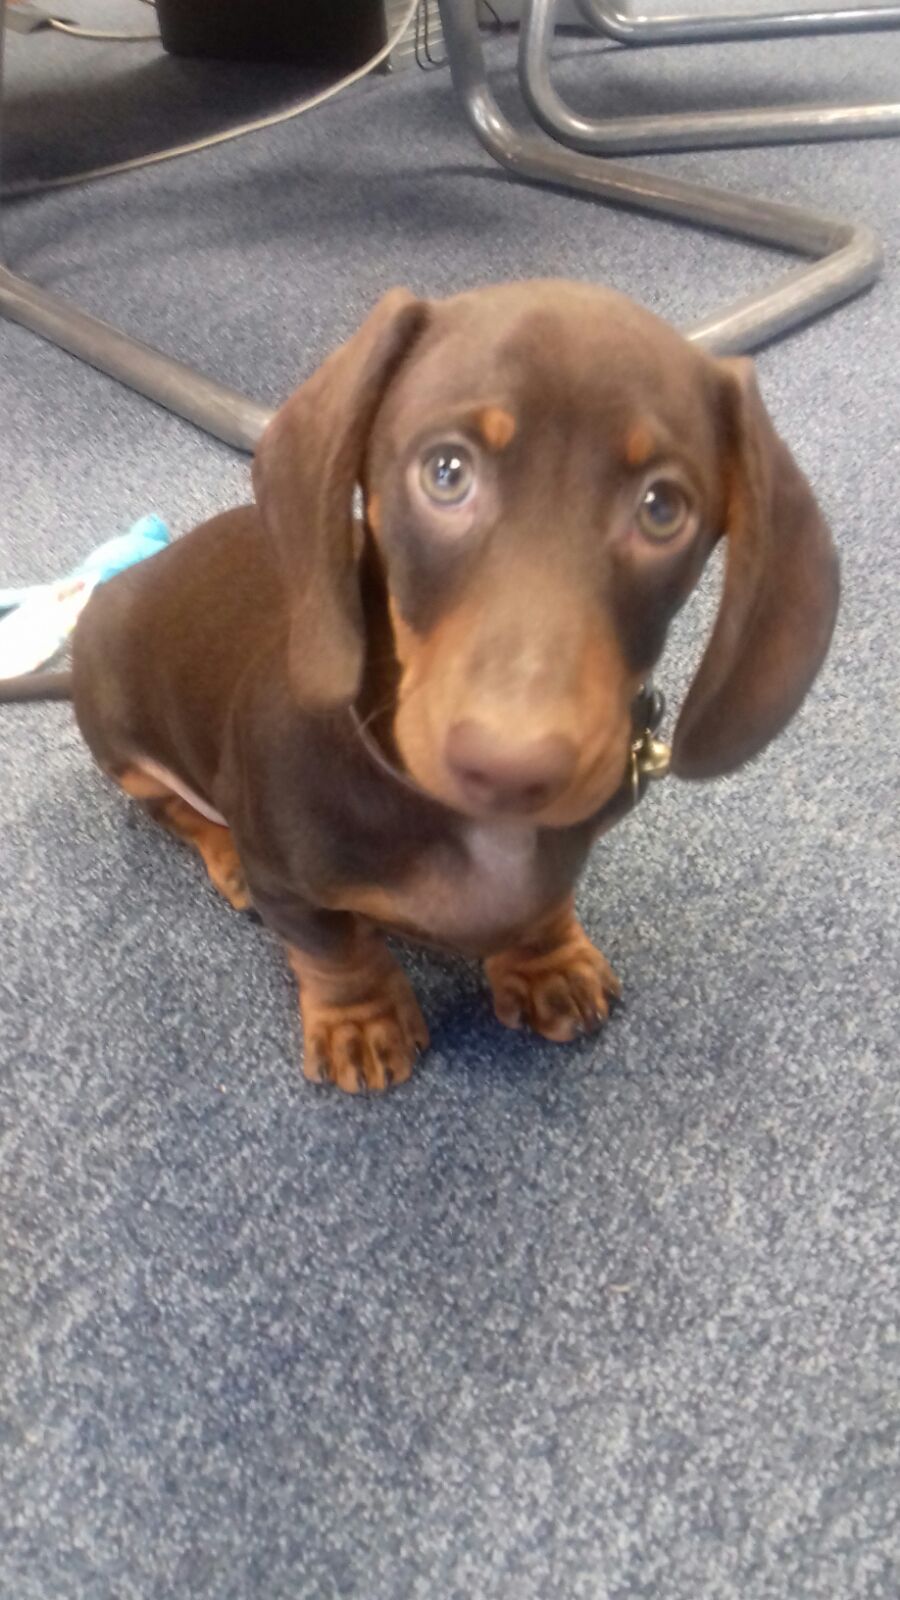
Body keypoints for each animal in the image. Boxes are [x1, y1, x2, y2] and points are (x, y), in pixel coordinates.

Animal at [68, 281, 839, 1092]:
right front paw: (360, 1019)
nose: (512, 768)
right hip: (118, 738)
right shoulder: (291, 887)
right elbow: (333, 950)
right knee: (171, 810)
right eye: (446, 472)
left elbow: (542, 902)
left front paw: (545, 962)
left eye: (663, 508)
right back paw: (224, 857)